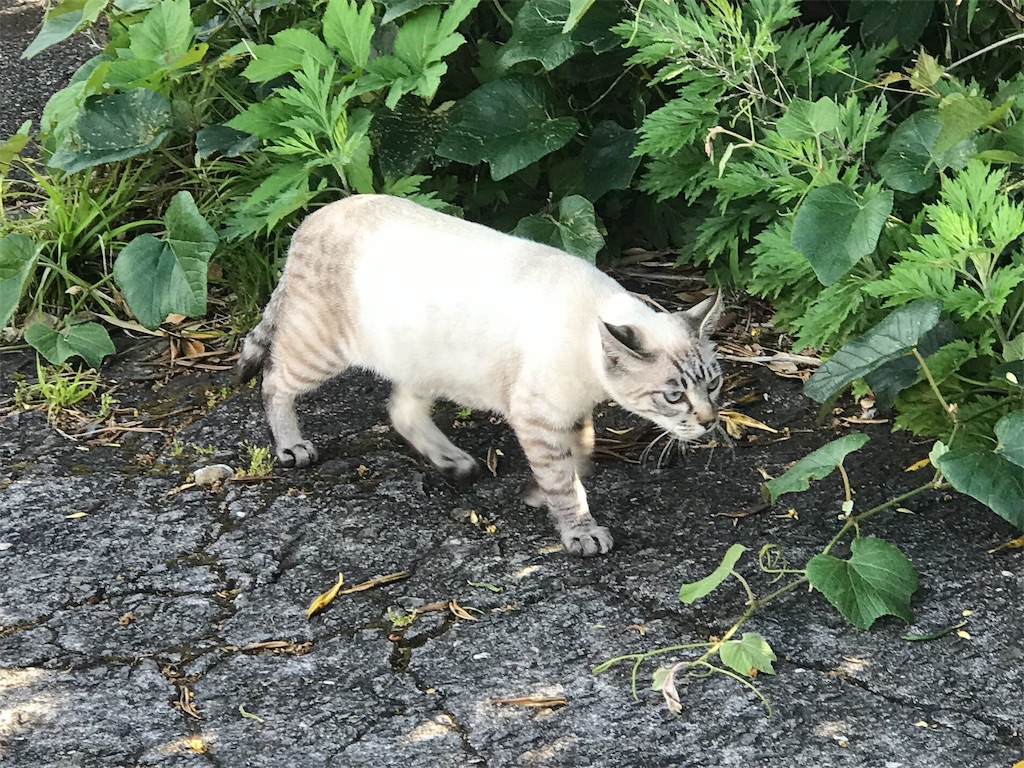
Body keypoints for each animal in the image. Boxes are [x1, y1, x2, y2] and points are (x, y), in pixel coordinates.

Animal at [236, 196, 724, 561]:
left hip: (424, 361)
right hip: (320, 351)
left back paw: (454, 462)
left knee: (400, 410)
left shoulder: (570, 412)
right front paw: (579, 529)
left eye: (714, 384)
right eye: (675, 396)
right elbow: (564, 479)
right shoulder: (537, 415)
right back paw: (292, 446)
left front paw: (541, 494)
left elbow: (581, 455)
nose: (710, 421)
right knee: (274, 380)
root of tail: (316, 214)